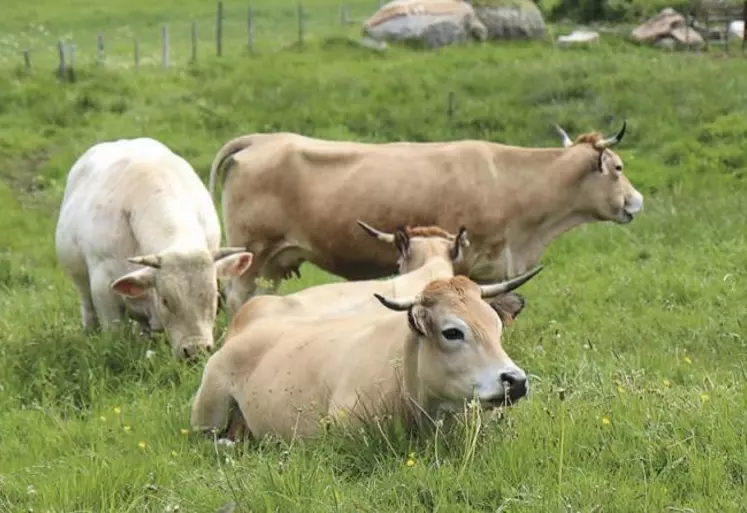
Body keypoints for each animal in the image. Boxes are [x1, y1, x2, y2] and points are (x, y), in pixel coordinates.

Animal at [209, 122, 644, 318]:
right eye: (619, 168)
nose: (637, 202)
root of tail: (262, 139)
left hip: (273, 262)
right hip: (252, 253)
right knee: (236, 295)